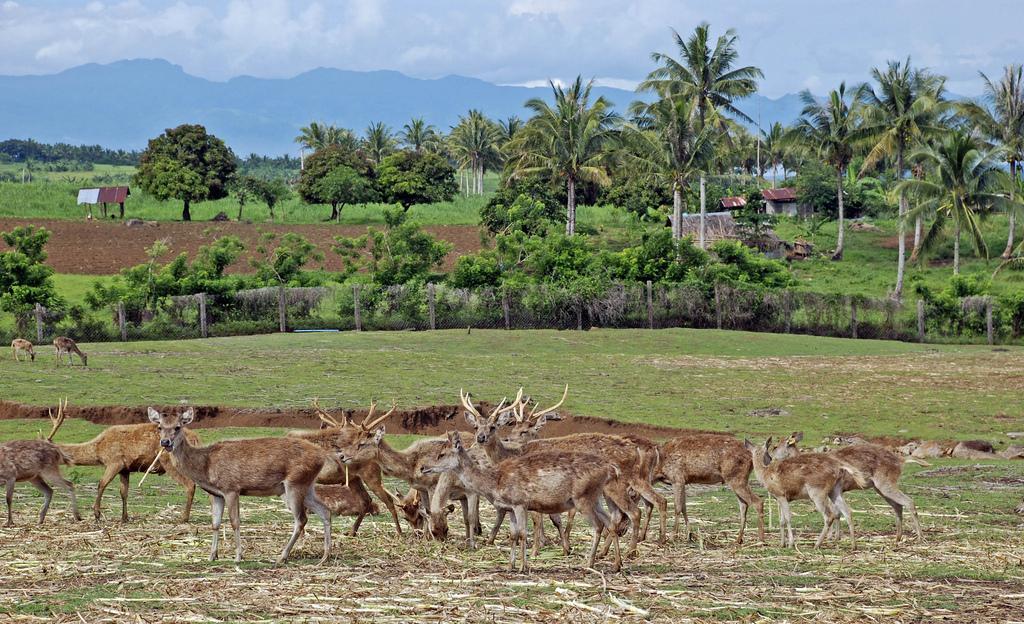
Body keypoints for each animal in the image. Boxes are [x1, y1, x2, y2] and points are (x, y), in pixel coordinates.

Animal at [57, 418, 197, 520]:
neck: (99, 451)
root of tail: (196, 438)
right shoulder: (125, 469)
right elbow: (124, 492)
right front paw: (124, 517)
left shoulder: (115, 462)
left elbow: (101, 484)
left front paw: (97, 514)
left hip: (171, 462)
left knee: (190, 484)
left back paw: (184, 518)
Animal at [148, 405, 329, 561]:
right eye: (160, 427)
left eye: (178, 427)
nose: (165, 442)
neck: (206, 467)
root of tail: (322, 456)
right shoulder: (217, 494)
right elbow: (215, 523)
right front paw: (212, 556)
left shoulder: (231, 488)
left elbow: (235, 522)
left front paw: (238, 556)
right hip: (306, 485)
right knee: (324, 511)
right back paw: (326, 555)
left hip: (294, 483)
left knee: (301, 519)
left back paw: (282, 556)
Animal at [419, 430, 618, 573]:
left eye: (442, 454)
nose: (423, 467)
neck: (493, 482)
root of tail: (611, 468)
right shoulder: (510, 508)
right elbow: (513, 534)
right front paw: (510, 565)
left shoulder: (520, 503)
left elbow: (522, 533)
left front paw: (523, 566)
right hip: (595, 498)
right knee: (611, 522)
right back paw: (617, 564)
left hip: (583, 498)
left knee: (598, 525)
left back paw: (589, 563)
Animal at [770, 430, 925, 541]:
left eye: (775, 446)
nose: (770, 457)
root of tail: (900, 460)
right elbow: (838, 513)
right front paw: (836, 537)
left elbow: (834, 513)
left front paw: (832, 537)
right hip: (880, 488)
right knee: (898, 506)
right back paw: (898, 537)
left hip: (885, 484)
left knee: (909, 502)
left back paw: (919, 537)